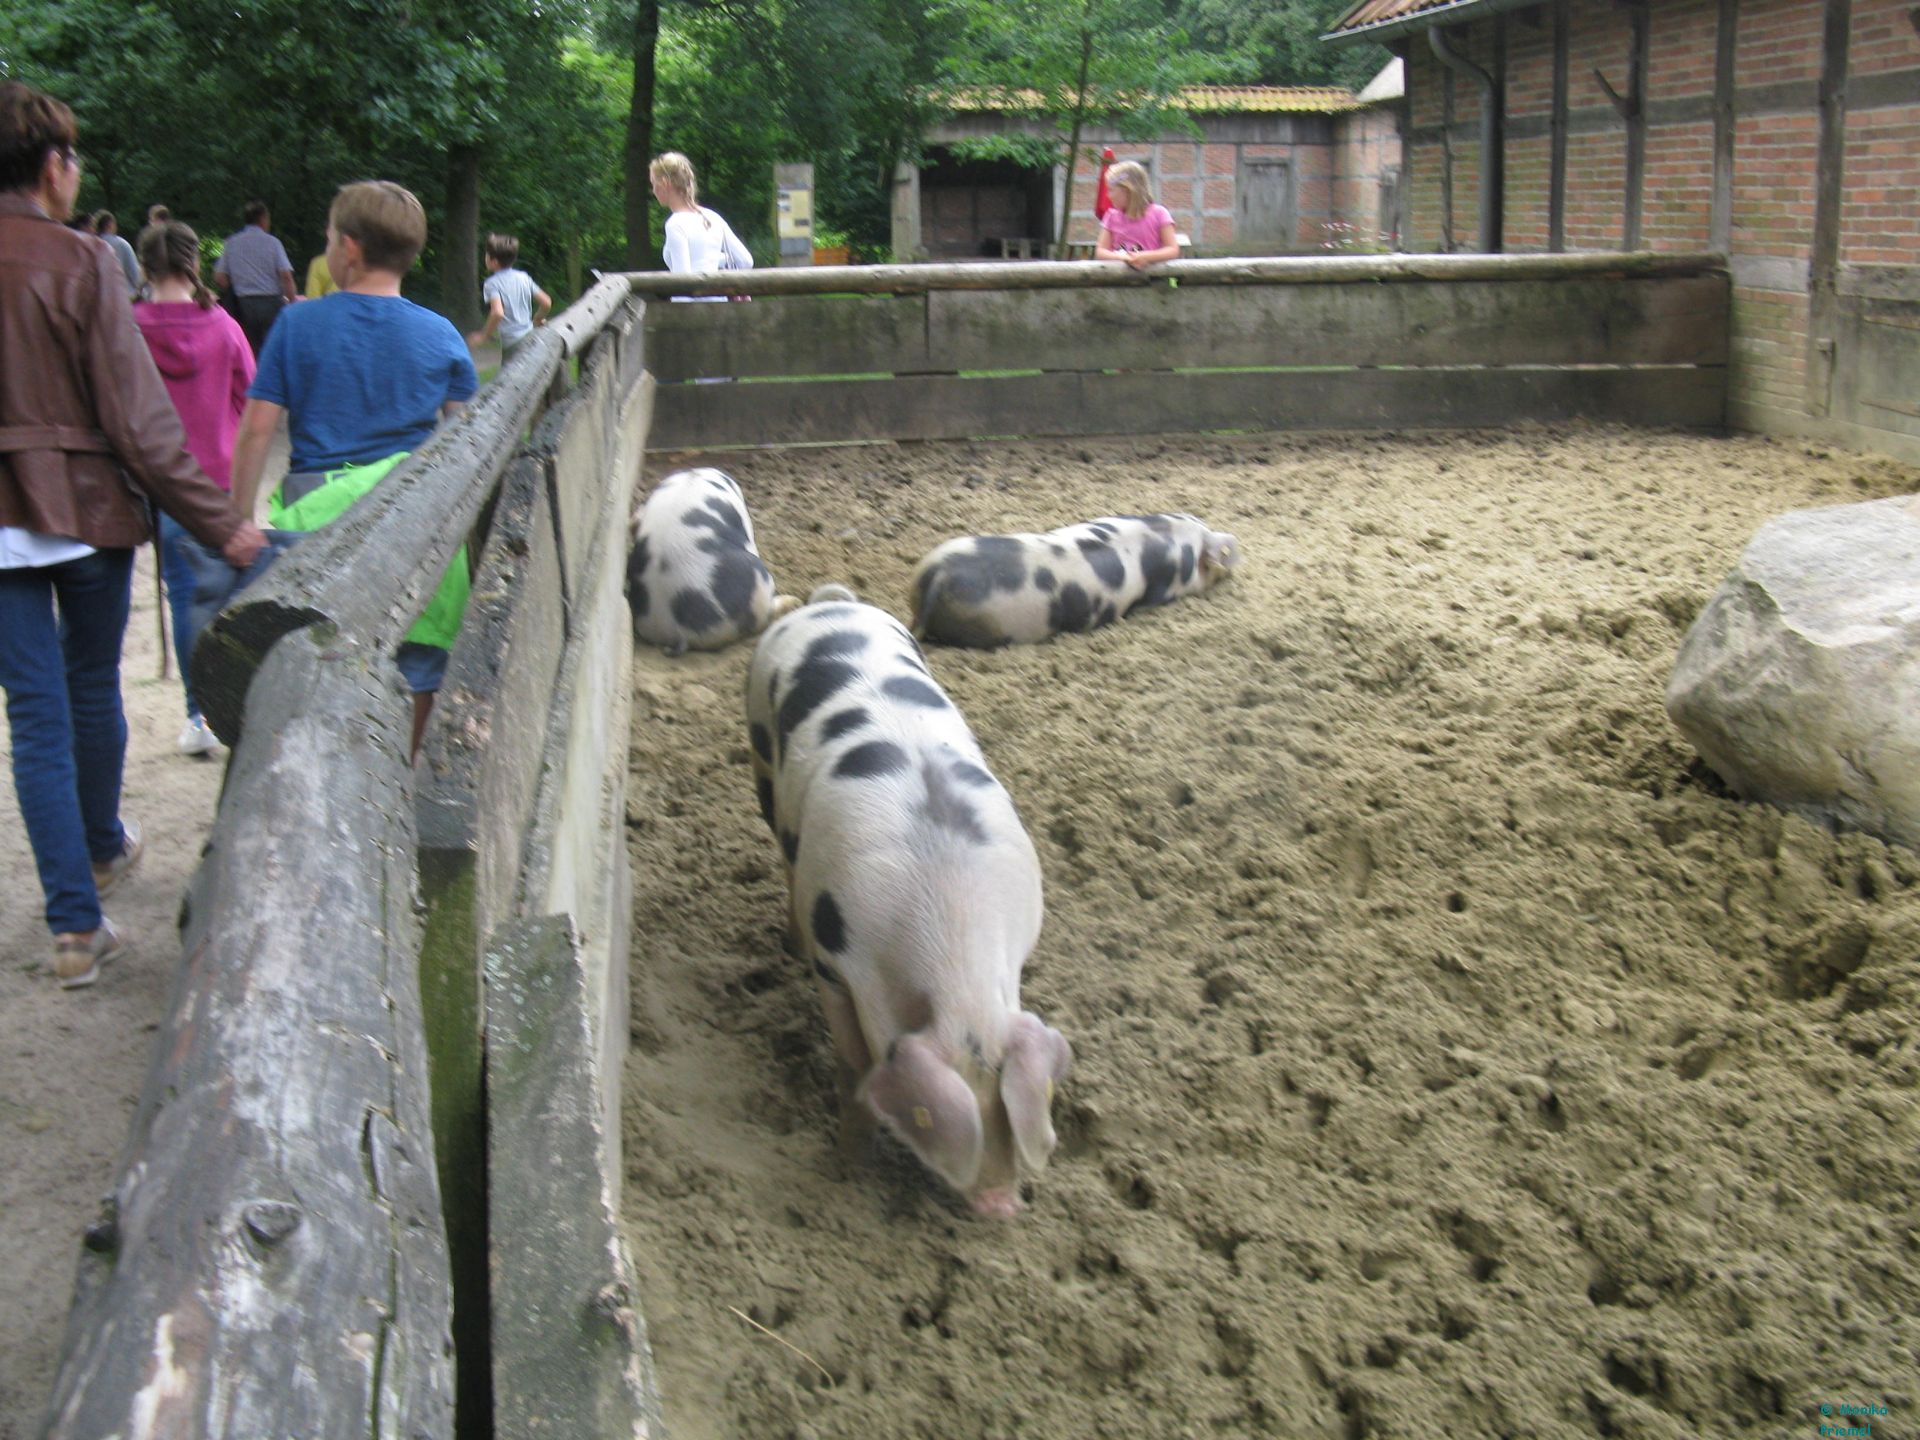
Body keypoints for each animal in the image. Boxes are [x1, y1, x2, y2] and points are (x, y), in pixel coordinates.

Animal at [745, 583, 1072, 1219]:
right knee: (780, 843)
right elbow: (854, 1064)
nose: (1001, 1202)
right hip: (759, 743)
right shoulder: (836, 968)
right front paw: (850, 1166)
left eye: (1009, 1102)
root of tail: (831, 603)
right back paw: (787, 939)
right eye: (926, 1115)